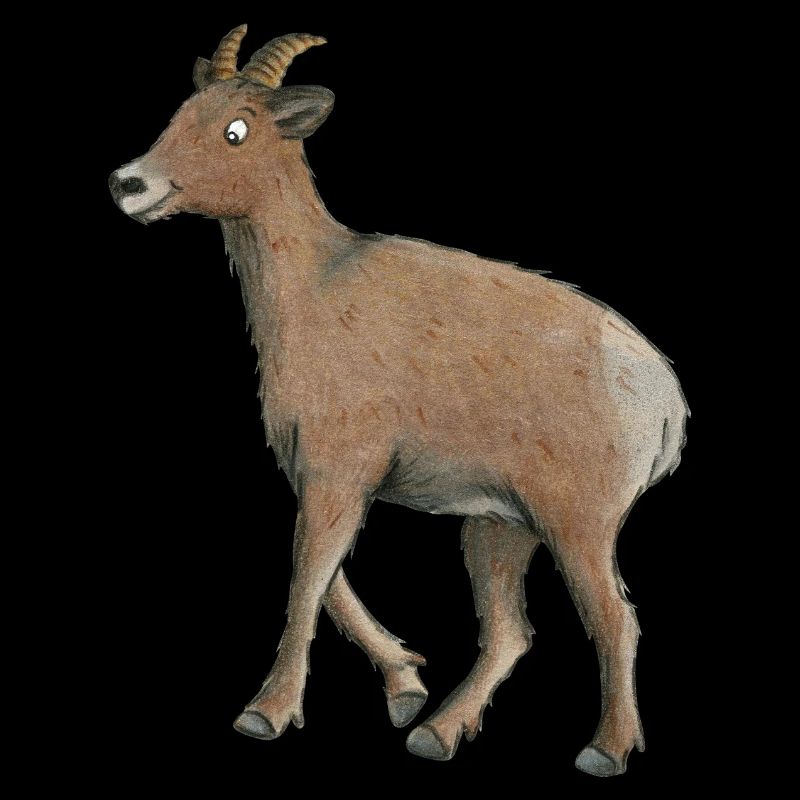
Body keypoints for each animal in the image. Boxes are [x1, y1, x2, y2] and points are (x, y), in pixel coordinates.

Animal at [109, 27, 688, 776]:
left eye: (238, 128)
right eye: (183, 111)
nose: (129, 184)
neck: (314, 293)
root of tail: (668, 405)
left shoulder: (340, 472)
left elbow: (307, 580)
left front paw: (264, 714)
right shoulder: (322, 477)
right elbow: (328, 579)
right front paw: (406, 690)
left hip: (578, 528)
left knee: (616, 620)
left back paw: (604, 751)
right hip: (499, 528)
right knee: (511, 631)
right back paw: (434, 733)